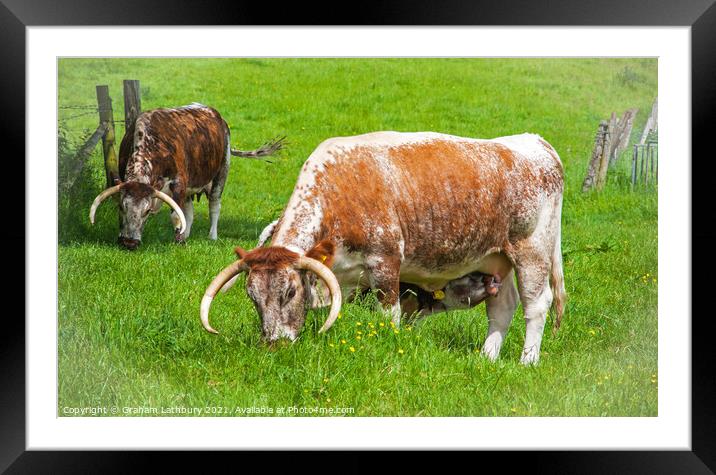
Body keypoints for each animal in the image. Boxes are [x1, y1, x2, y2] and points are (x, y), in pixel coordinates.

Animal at [88, 102, 282, 251]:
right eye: (122, 207)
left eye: (147, 211)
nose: (129, 242)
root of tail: (217, 115)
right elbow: (182, 214)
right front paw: (181, 237)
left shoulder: (179, 184)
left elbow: (176, 215)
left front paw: (178, 242)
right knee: (189, 211)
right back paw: (186, 234)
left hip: (221, 174)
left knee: (214, 206)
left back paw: (212, 236)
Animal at [201, 132, 564, 366]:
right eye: (252, 296)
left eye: (290, 292)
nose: (274, 345)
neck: (341, 194)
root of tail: (537, 142)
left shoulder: (386, 264)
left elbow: (390, 316)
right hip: (494, 260)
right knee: (501, 306)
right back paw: (487, 358)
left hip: (532, 253)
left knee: (536, 305)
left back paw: (527, 361)